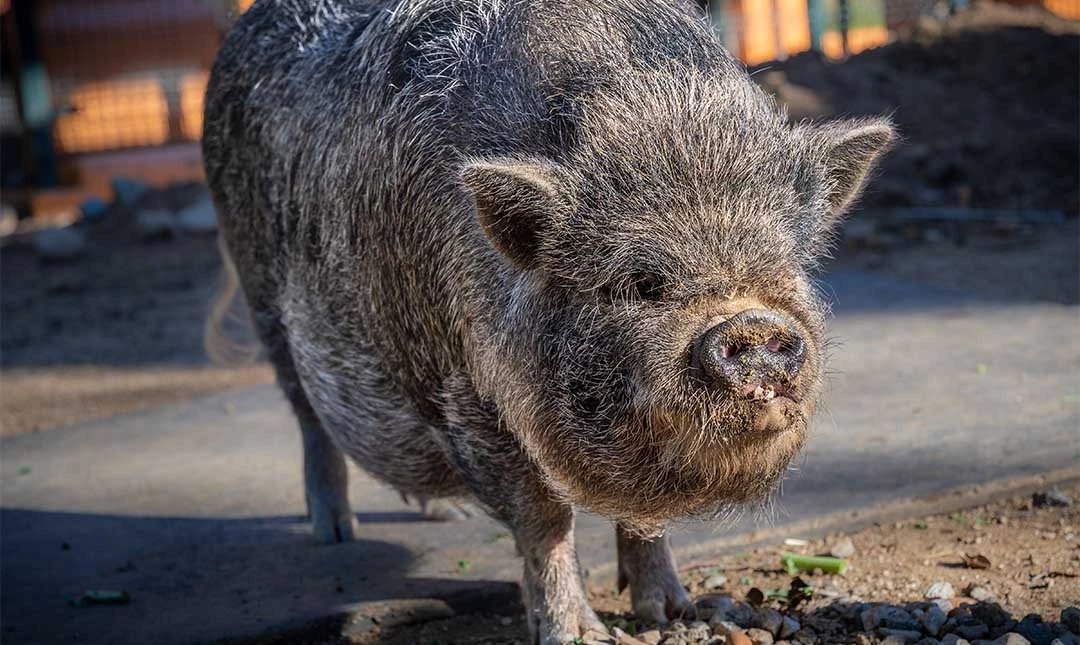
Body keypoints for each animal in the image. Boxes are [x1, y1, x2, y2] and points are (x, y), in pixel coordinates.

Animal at [202, 0, 893, 642]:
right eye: (641, 283)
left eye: (783, 266)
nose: (751, 327)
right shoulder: (468, 396)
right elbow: (543, 521)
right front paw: (582, 635)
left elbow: (646, 520)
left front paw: (677, 613)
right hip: (261, 295)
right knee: (308, 418)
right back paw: (334, 534)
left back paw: (445, 517)